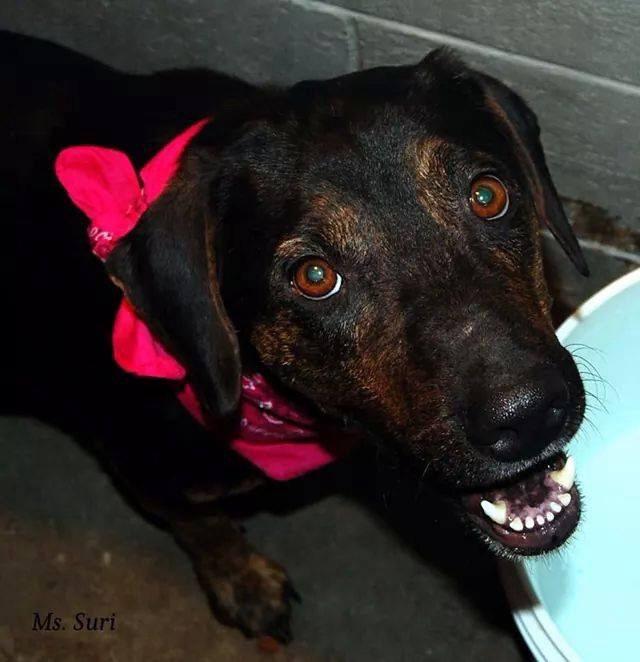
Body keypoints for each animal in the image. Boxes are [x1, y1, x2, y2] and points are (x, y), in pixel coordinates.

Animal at [3, 31, 584, 644]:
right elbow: (201, 524)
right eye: (315, 276)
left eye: (487, 195)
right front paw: (243, 581)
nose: (529, 416)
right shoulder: (144, 469)